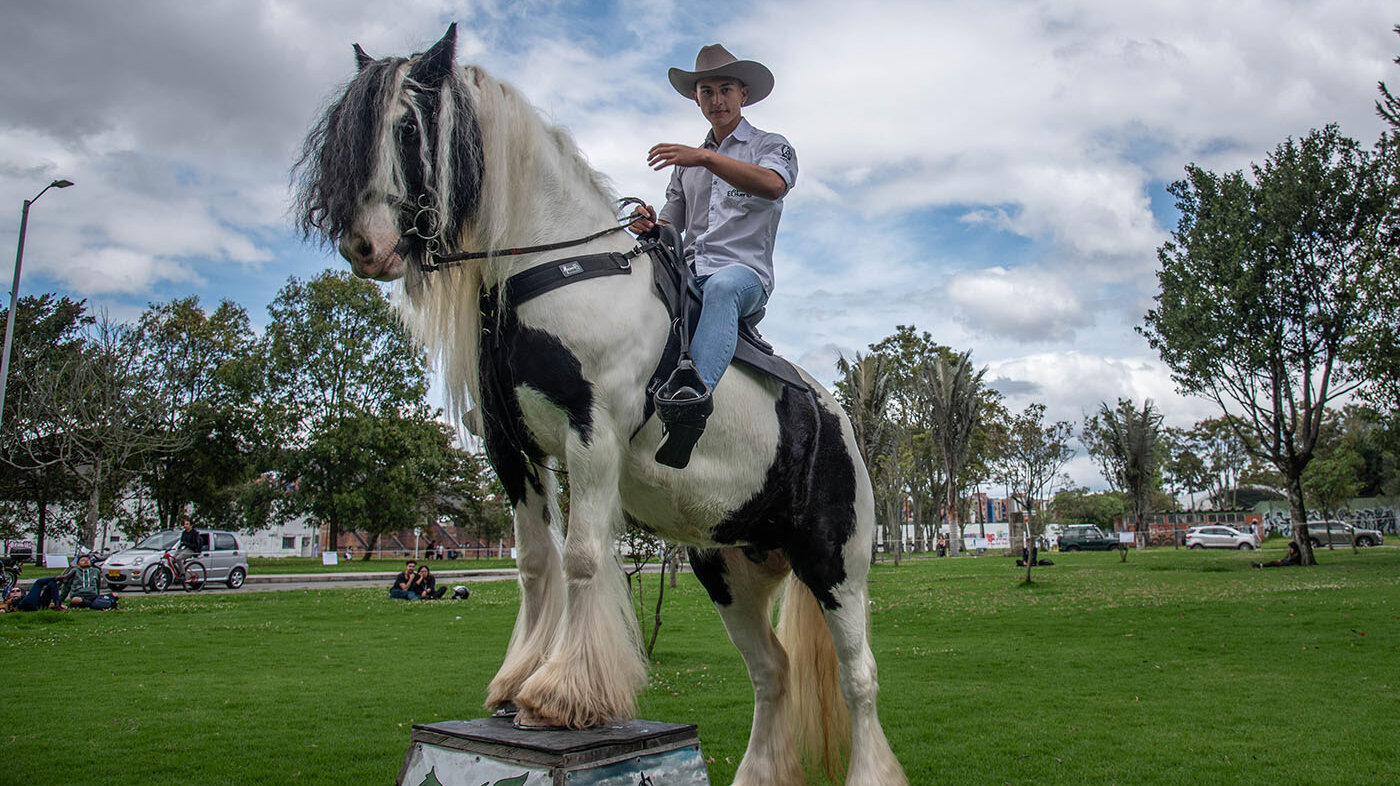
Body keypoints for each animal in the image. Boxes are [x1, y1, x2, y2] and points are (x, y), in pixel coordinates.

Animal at [295, 24, 907, 784]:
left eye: (407, 125)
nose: (365, 245)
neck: (557, 270)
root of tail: (837, 421)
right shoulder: (514, 451)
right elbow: (536, 561)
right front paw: (512, 686)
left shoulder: (592, 436)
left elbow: (583, 556)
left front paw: (560, 696)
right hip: (728, 568)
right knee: (772, 673)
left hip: (835, 565)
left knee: (860, 680)